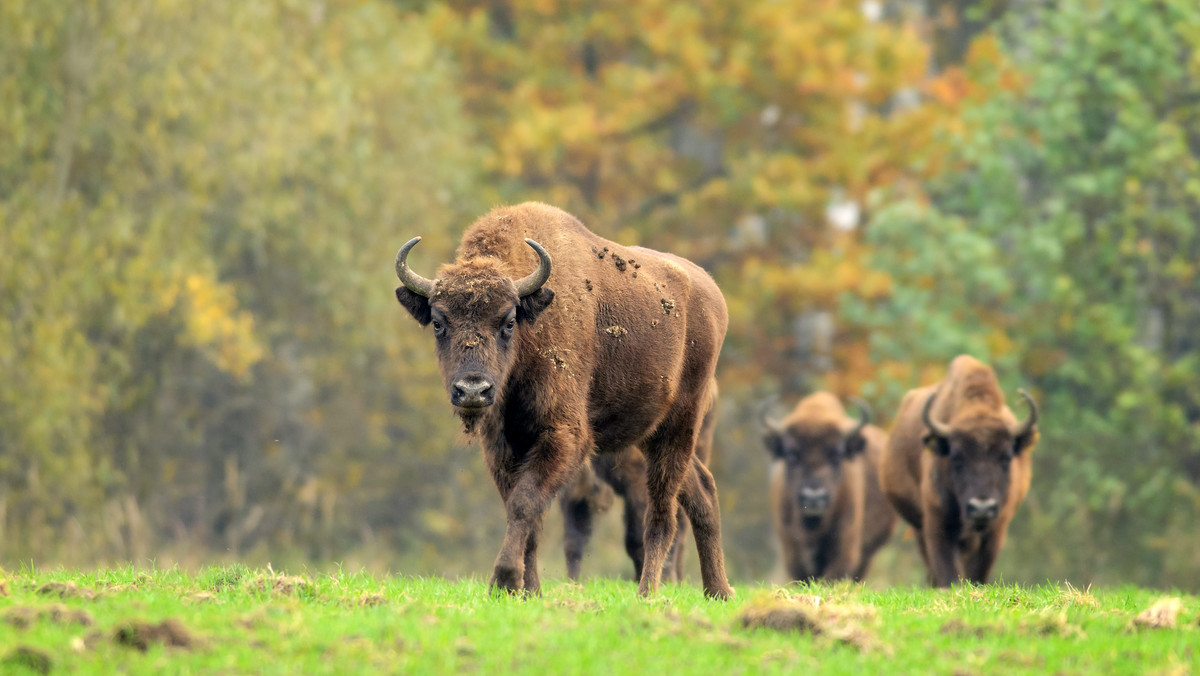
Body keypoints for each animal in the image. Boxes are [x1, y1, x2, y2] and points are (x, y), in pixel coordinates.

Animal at [556, 381, 715, 581]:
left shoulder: (638, 482)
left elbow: (637, 537)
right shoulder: (572, 495)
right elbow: (574, 540)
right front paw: (572, 582)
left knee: (683, 524)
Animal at [878, 355, 1036, 588]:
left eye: (1006, 458)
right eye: (956, 458)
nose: (981, 508)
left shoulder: (995, 531)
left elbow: (977, 573)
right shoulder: (938, 526)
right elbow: (948, 573)